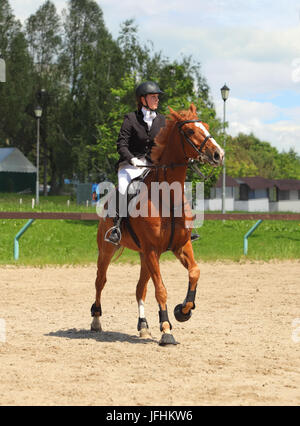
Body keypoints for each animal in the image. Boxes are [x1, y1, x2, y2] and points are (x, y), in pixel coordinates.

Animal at [90, 104, 224, 346]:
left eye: (206, 126)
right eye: (190, 131)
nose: (219, 154)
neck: (166, 197)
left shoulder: (180, 246)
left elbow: (195, 272)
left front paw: (183, 311)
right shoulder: (153, 250)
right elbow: (160, 290)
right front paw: (166, 330)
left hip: (144, 255)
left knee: (139, 289)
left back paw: (143, 326)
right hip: (107, 250)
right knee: (100, 281)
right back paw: (96, 321)